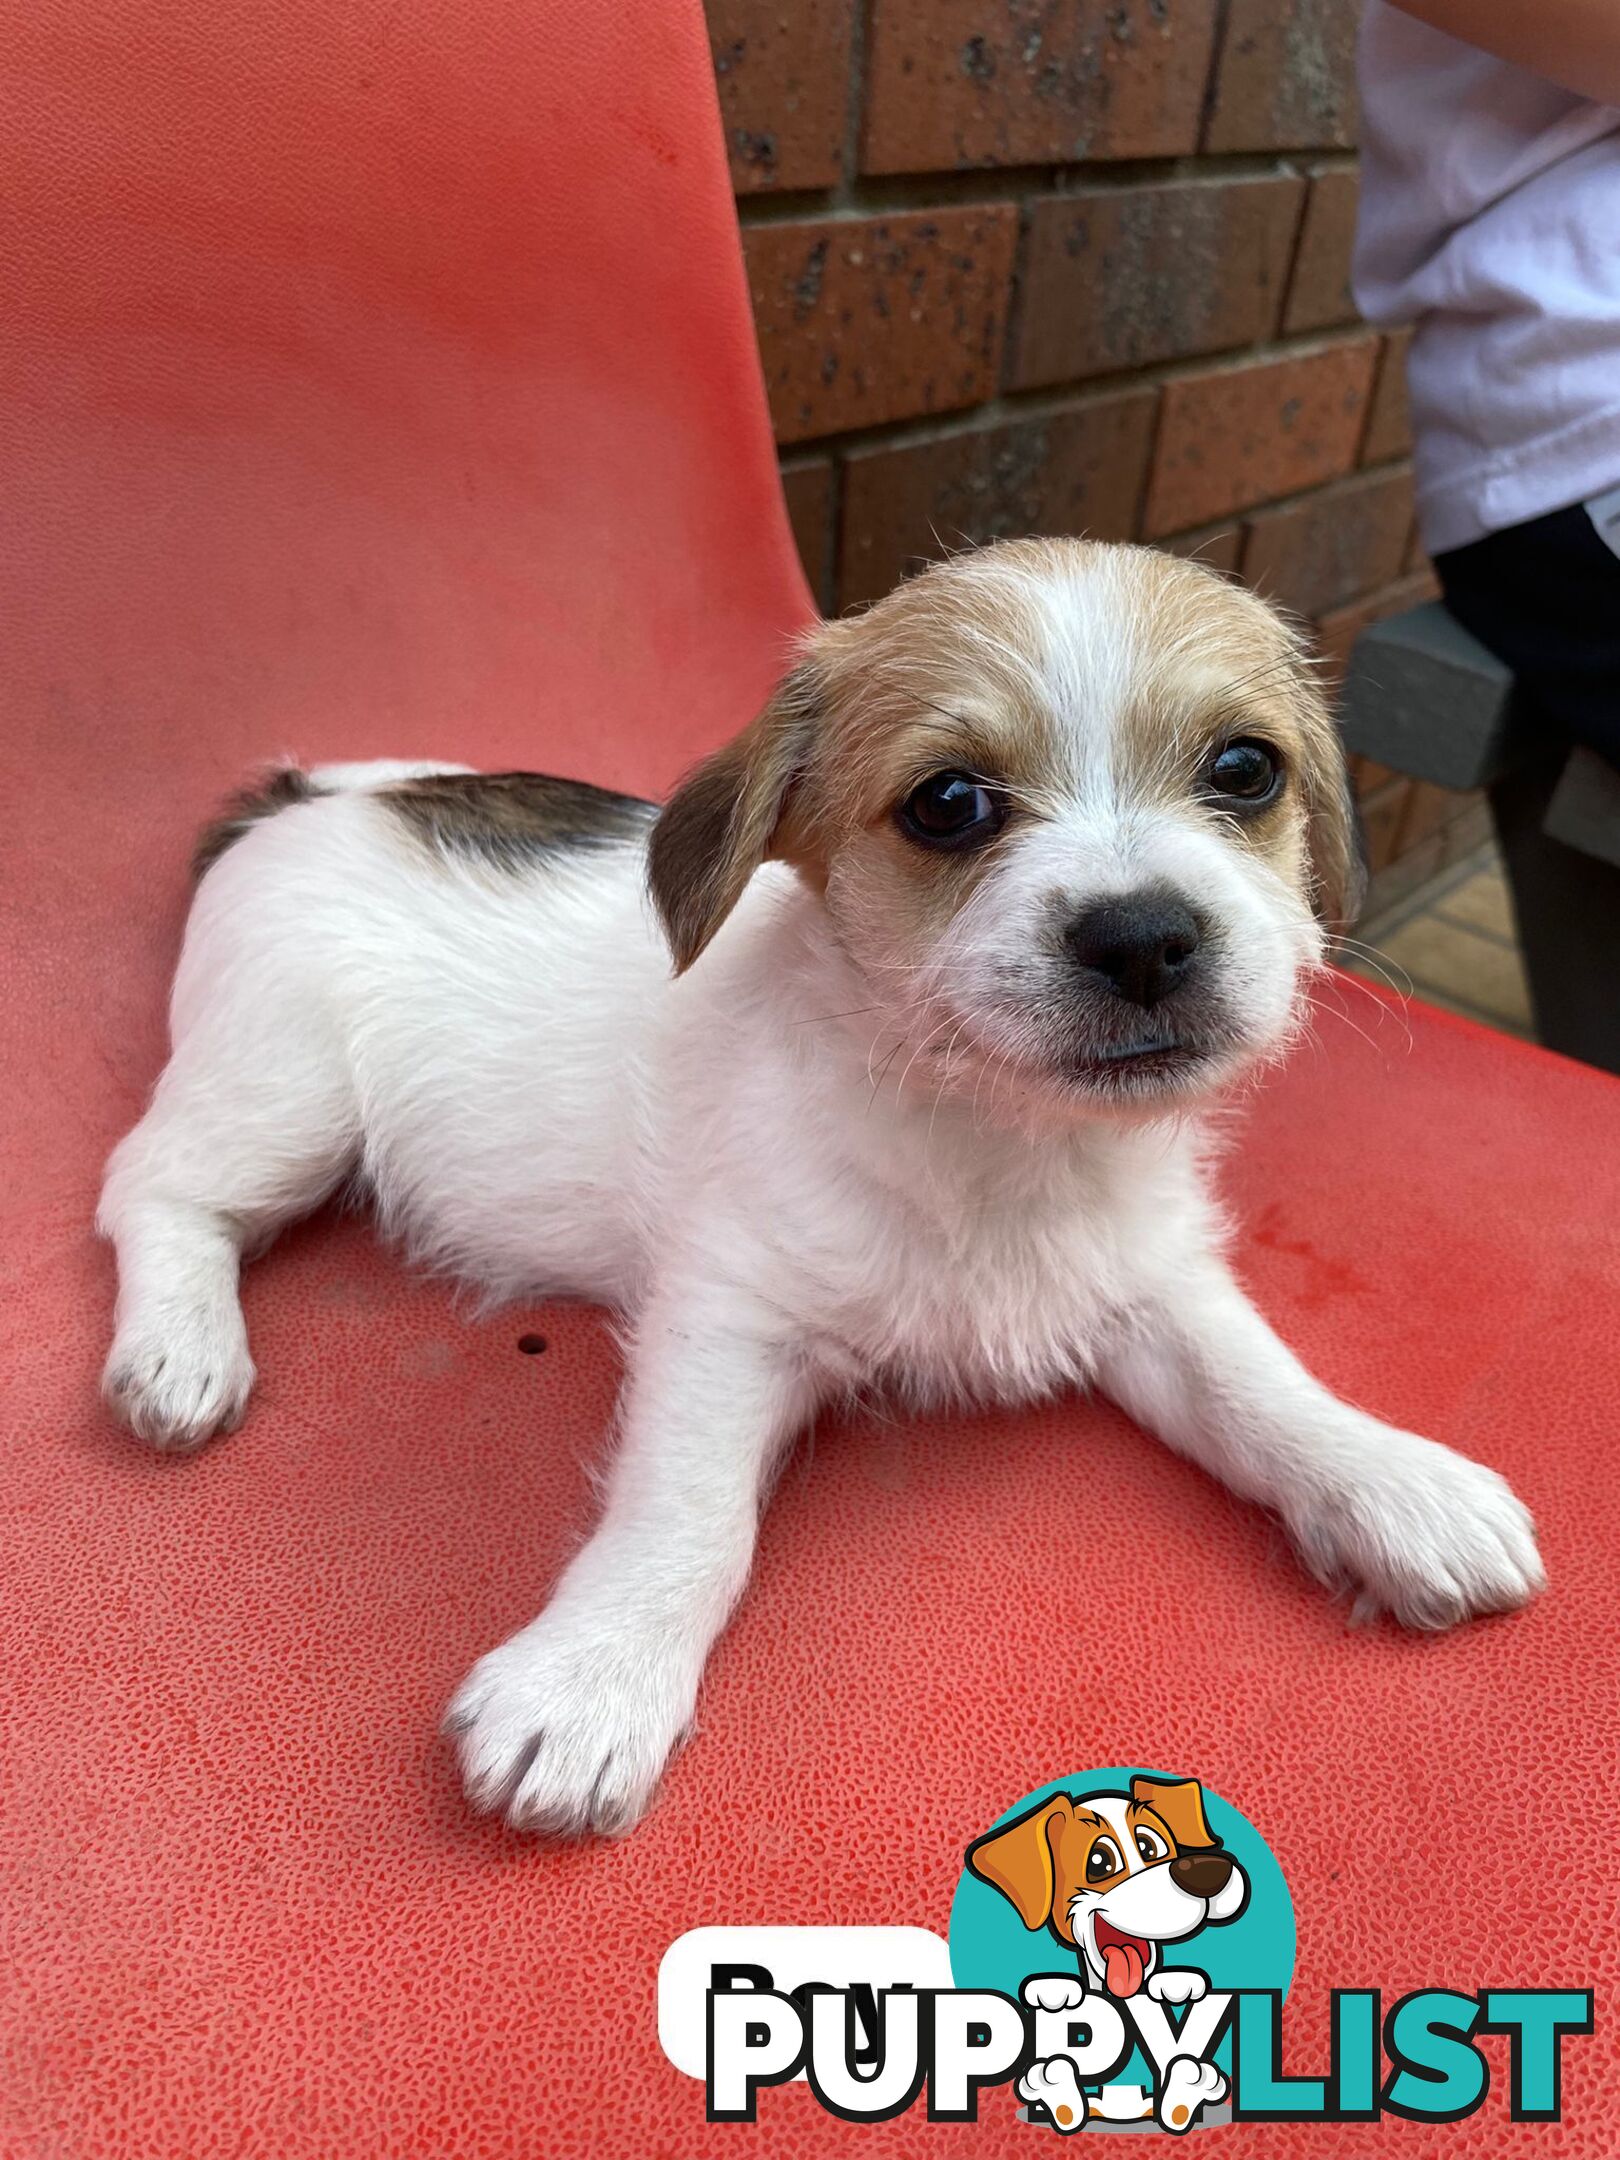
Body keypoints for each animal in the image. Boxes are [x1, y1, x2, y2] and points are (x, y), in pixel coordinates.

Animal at [95, 531, 1537, 1831]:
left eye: (1244, 769)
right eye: (948, 804)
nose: (1142, 937)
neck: (995, 1141)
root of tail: (306, 795)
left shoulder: (1146, 1286)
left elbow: (1262, 1386)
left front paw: (1392, 1481)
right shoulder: (731, 1319)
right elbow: (691, 1517)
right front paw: (597, 1678)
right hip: (287, 1093)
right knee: (149, 1186)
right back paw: (181, 1348)